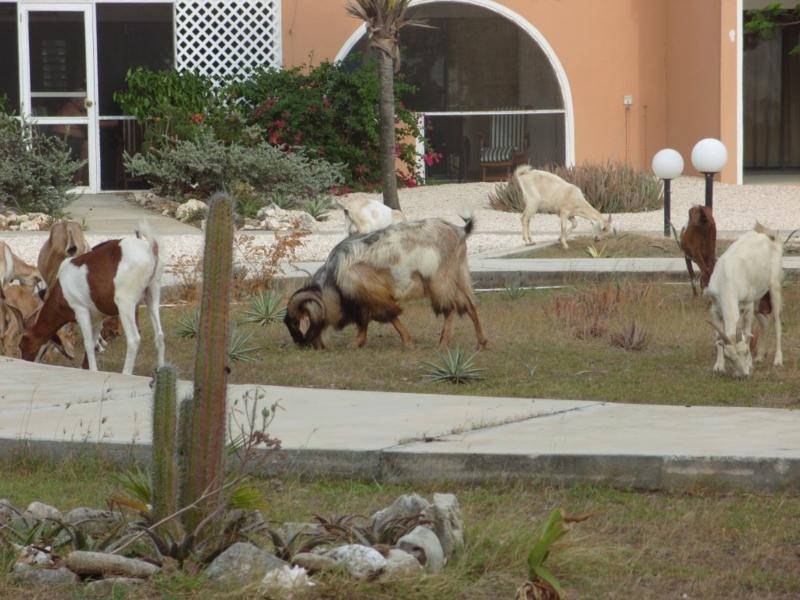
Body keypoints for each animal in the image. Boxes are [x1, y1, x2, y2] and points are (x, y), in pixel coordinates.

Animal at [19, 221, 166, 376]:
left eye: (23, 344)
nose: (26, 361)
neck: (61, 290)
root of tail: (150, 248)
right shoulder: (97, 318)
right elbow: (95, 341)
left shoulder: (81, 310)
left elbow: (88, 343)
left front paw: (93, 370)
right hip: (152, 294)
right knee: (160, 335)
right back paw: (161, 371)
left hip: (125, 303)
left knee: (134, 339)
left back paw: (125, 373)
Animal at [288, 217, 488, 350]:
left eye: (296, 324)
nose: (302, 344)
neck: (334, 277)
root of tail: (459, 231)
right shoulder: (366, 300)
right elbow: (367, 321)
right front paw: (359, 342)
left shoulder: (371, 294)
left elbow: (387, 316)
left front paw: (407, 342)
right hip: (458, 276)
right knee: (469, 305)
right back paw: (481, 343)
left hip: (440, 281)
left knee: (450, 308)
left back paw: (442, 344)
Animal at [704, 223, 784, 378]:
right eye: (729, 357)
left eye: (746, 351)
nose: (743, 375)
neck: (727, 278)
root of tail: (770, 239)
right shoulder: (715, 308)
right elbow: (717, 337)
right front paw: (718, 366)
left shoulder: (748, 306)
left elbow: (747, 332)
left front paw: (750, 364)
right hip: (758, 300)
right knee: (765, 321)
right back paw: (760, 357)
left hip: (774, 287)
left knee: (777, 323)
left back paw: (778, 360)